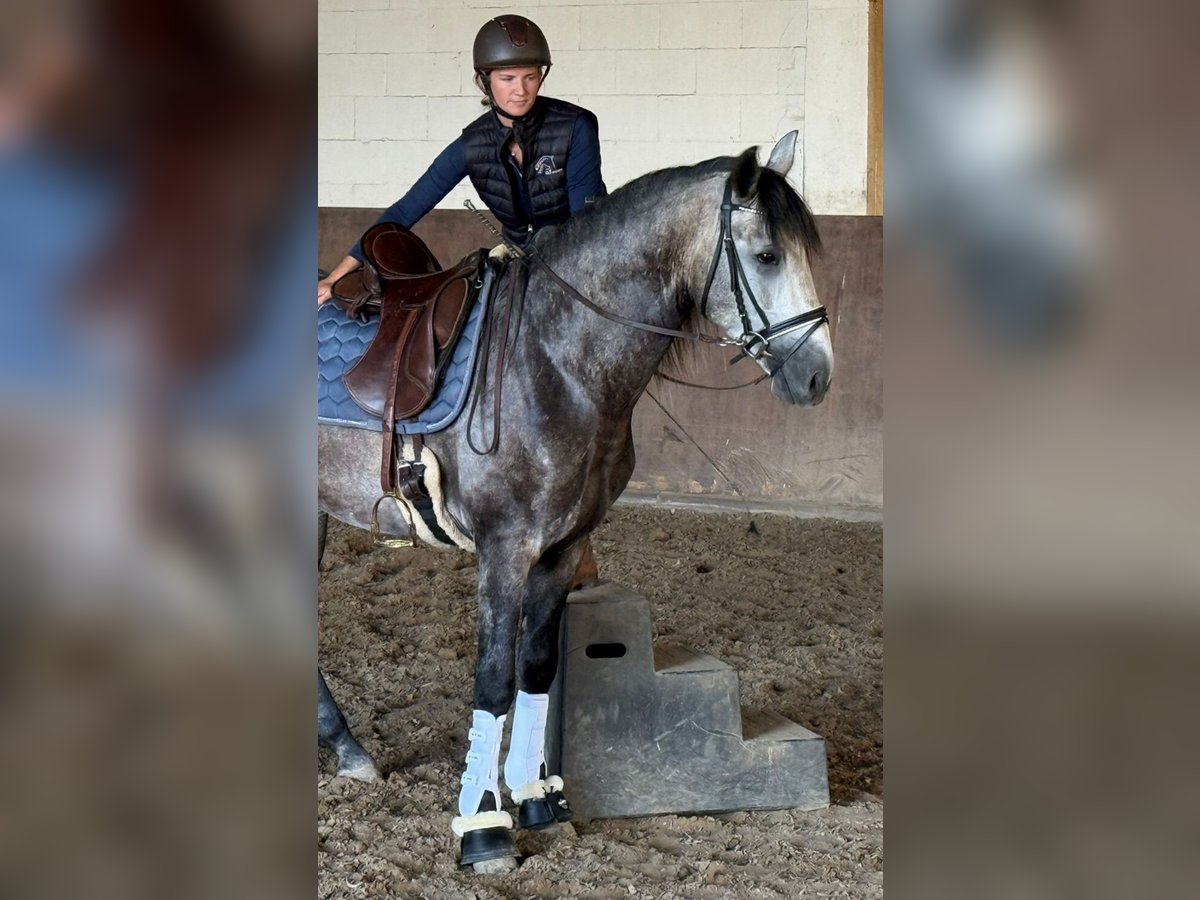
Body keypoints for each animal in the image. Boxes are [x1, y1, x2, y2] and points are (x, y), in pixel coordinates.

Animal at [317, 132, 833, 871]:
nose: (818, 375)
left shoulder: (563, 548)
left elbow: (536, 668)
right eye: (766, 256)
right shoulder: (505, 549)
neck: (556, 363)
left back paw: (348, 750)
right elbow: (494, 678)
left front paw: (539, 801)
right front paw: (483, 830)